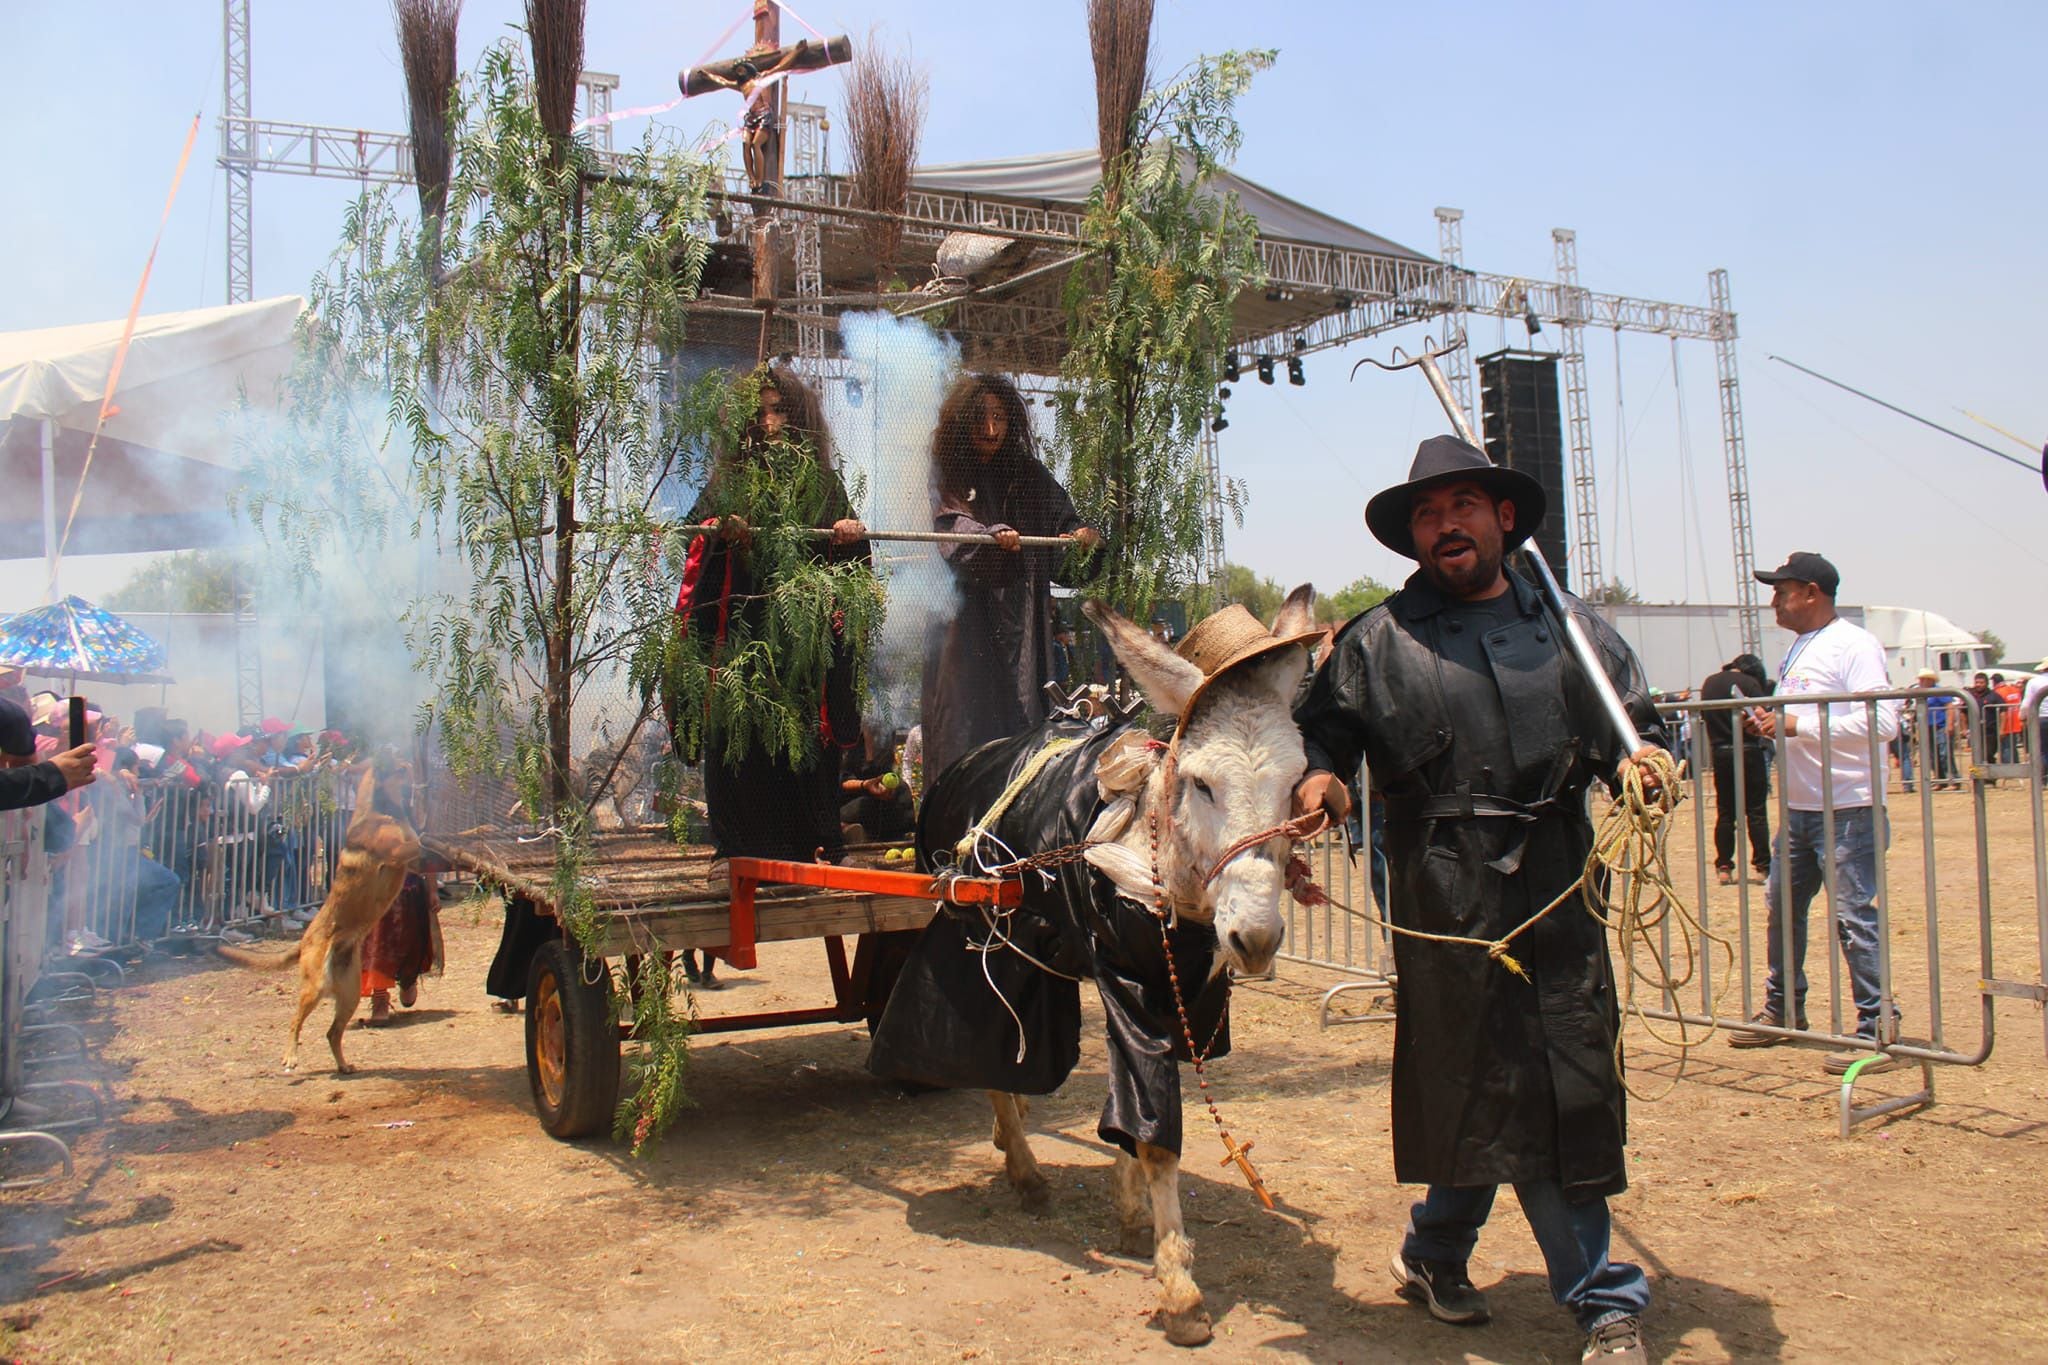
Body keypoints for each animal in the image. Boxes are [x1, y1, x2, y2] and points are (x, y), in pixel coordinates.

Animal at [220, 769, 419, 1080]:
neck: (378, 808)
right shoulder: (400, 850)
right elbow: (423, 841)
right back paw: (290, 1057)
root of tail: (304, 941)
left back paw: (343, 1065)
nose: (415, 779)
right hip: (314, 988)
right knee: (294, 1022)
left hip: (349, 996)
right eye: (401, 770)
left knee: (332, 1033)